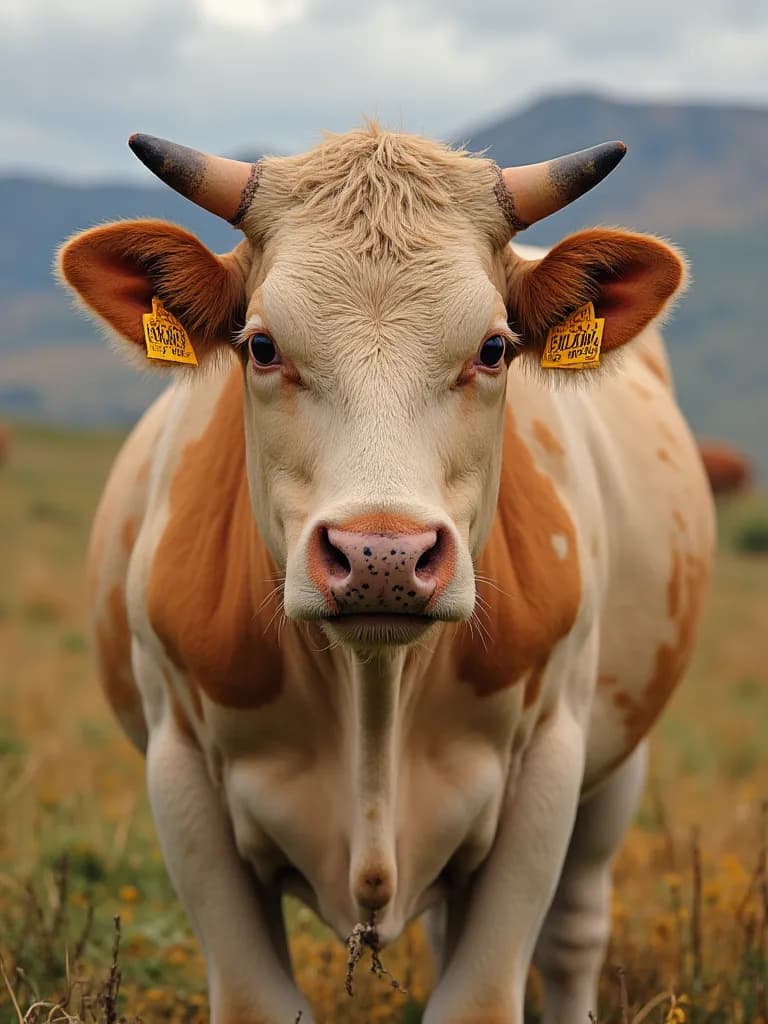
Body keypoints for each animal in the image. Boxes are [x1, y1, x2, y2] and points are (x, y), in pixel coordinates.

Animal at [58, 124, 715, 1024]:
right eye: (261, 346)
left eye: (494, 349)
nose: (383, 555)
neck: (372, 696)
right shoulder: (180, 770)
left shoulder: (552, 760)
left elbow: (483, 992)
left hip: (618, 754)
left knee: (576, 932)